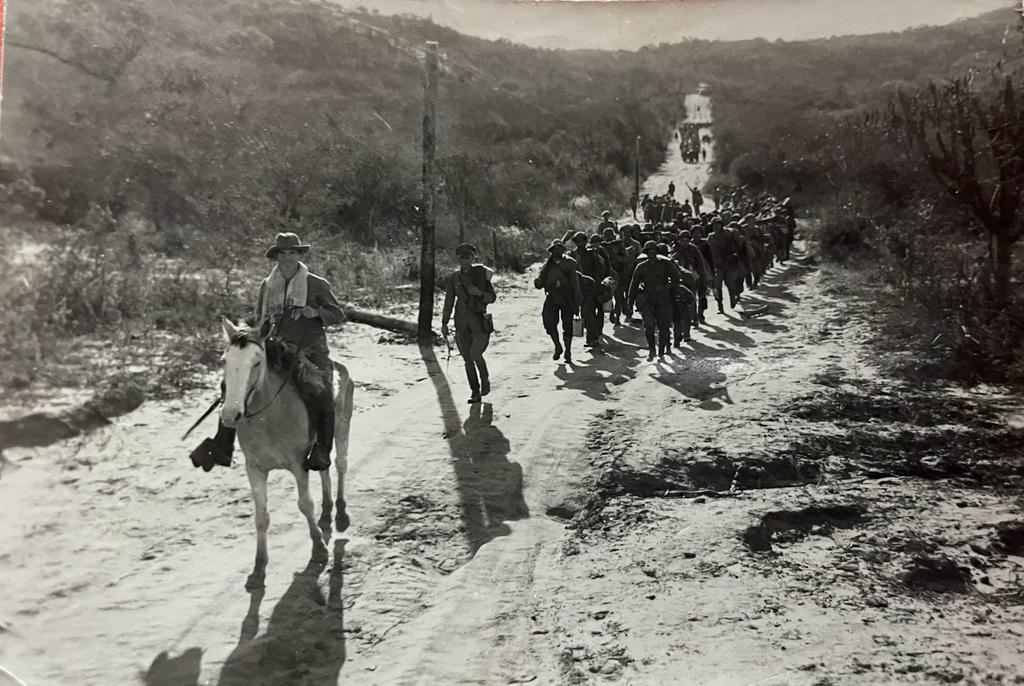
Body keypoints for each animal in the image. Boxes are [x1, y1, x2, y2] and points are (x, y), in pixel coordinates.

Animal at [221, 319, 356, 589]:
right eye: (225, 361)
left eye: (256, 362)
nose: (230, 415)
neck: (269, 417)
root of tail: (339, 368)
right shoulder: (255, 469)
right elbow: (261, 517)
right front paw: (258, 568)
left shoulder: (298, 465)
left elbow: (305, 504)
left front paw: (318, 549)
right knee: (324, 468)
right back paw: (326, 512)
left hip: (342, 427)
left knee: (340, 464)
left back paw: (340, 512)